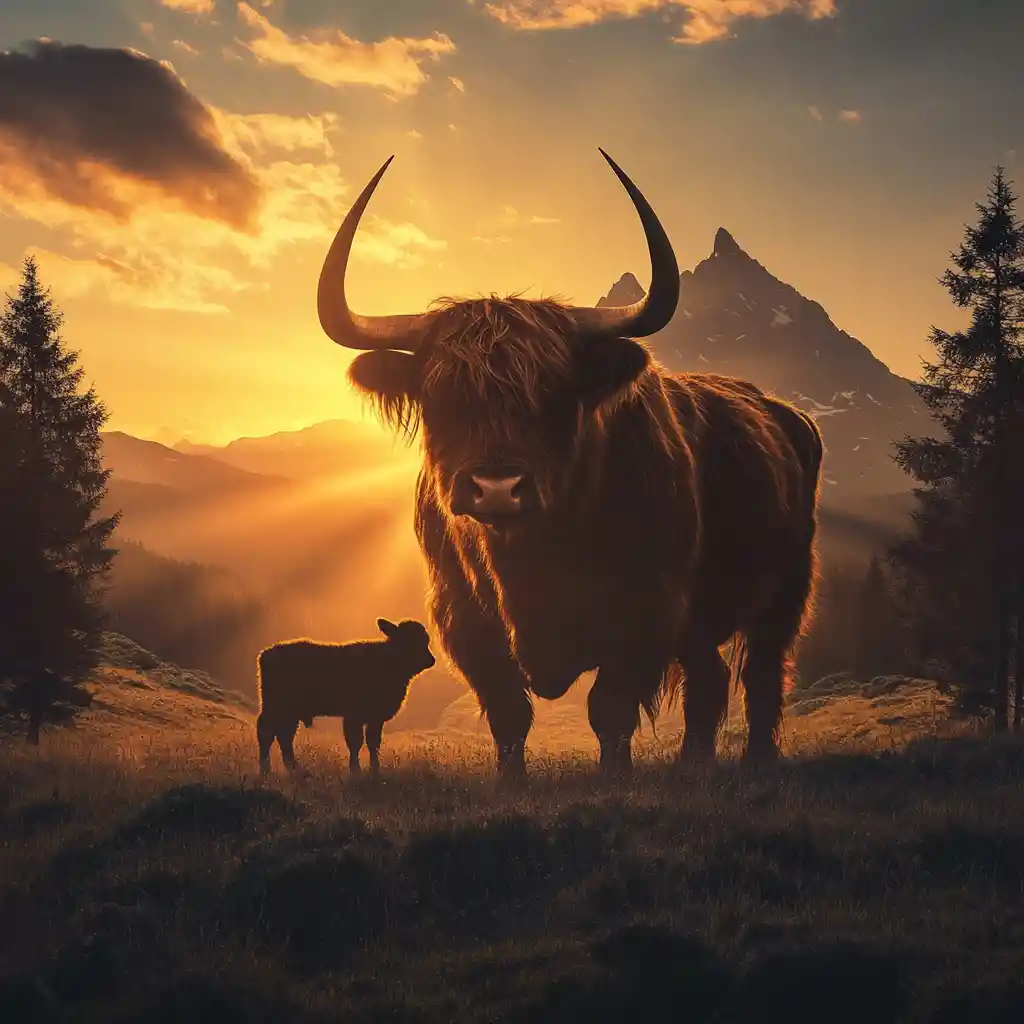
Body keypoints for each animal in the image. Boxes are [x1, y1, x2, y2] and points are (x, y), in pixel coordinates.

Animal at [255, 618, 436, 776]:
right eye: (408, 640)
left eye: (425, 640)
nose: (431, 660)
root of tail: (265, 654)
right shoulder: (353, 716)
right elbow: (355, 742)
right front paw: (356, 770)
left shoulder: (375, 718)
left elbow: (373, 743)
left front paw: (375, 770)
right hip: (275, 706)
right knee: (266, 732)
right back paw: (266, 770)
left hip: (289, 712)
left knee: (284, 736)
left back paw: (295, 770)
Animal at [315, 150, 823, 777]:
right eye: (439, 397)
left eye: (556, 392)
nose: (497, 487)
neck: (533, 561)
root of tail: (788, 414)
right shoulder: (466, 621)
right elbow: (508, 712)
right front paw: (511, 783)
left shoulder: (645, 609)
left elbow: (610, 709)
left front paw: (614, 778)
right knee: (709, 678)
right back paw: (693, 766)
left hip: (786, 590)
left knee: (761, 675)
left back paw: (756, 760)